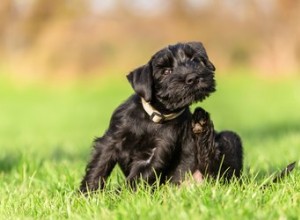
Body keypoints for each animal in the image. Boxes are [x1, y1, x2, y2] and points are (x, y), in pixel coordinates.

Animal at [79, 41, 241, 192]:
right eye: (166, 71)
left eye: (194, 60)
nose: (193, 77)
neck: (154, 117)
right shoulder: (112, 140)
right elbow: (99, 166)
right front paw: (87, 193)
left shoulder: (157, 151)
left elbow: (137, 177)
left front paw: (118, 195)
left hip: (230, 139)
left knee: (215, 171)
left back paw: (201, 124)